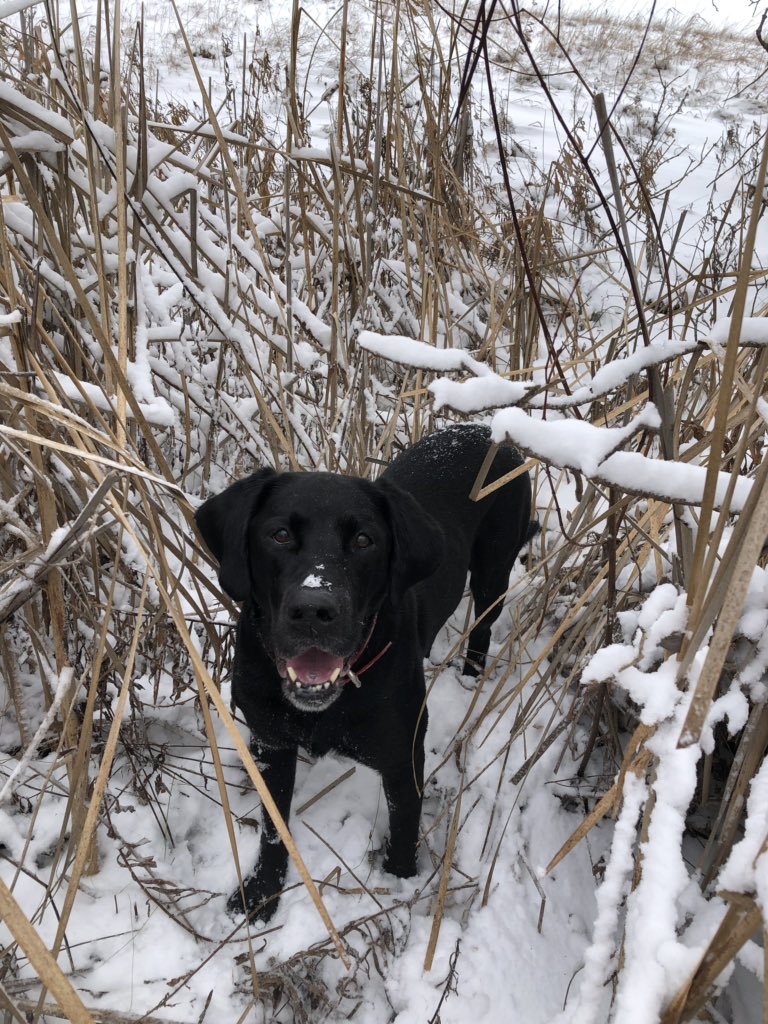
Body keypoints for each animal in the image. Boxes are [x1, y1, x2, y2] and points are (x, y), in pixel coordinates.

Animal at [195, 423, 536, 921]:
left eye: (363, 541)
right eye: (279, 534)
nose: (313, 611)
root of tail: (489, 430)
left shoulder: (403, 756)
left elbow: (404, 824)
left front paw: (400, 886)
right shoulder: (272, 744)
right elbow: (274, 829)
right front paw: (261, 892)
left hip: (495, 567)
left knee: (484, 627)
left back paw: (471, 678)